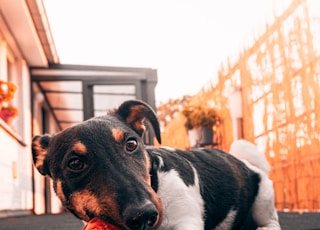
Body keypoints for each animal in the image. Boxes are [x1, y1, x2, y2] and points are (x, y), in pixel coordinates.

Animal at [31, 99, 280, 229]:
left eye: (131, 144)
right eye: (75, 163)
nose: (143, 216)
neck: (156, 183)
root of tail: (248, 163)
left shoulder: (186, 221)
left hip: (263, 202)